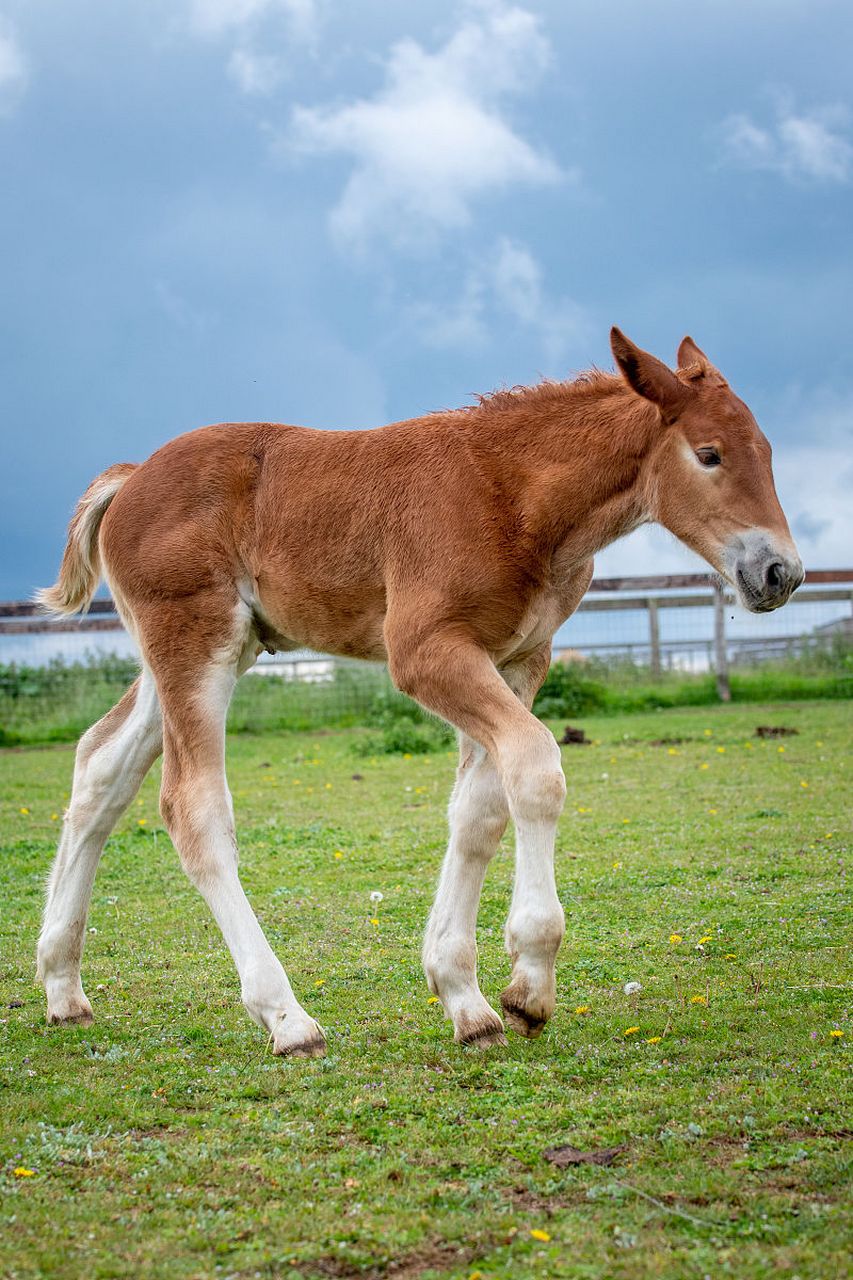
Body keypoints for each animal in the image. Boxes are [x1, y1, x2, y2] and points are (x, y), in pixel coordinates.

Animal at [38, 330, 799, 1059]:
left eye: (764, 451)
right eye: (708, 454)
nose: (779, 573)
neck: (512, 493)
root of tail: (131, 479)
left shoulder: (519, 659)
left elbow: (478, 810)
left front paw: (465, 999)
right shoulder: (426, 652)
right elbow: (535, 769)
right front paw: (529, 981)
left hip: (201, 653)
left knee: (100, 770)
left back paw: (61, 987)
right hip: (198, 646)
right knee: (191, 807)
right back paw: (287, 1018)